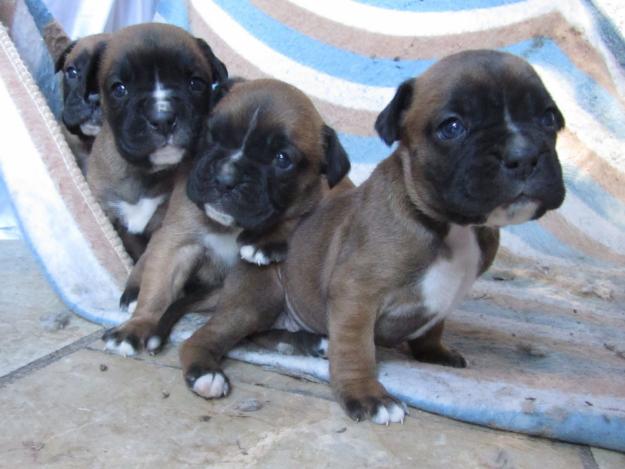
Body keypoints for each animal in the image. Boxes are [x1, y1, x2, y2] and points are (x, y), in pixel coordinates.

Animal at [102, 79, 352, 358]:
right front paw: (136, 326)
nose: (225, 177)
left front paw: (266, 241)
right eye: (212, 134)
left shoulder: (330, 195)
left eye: (282, 159)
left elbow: (297, 215)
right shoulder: (177, 244)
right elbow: (158, 288)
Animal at [177, 51, 564, 424]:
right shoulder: (356, 294)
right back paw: (206, 372)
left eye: (549, 119)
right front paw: (367, 396)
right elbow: (357, 349)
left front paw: (434, 353)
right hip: (256, 299)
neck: (451, 226)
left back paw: (306, 343)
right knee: (208, 336)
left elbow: (433, 328)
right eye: (452, 127)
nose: (523, 154)